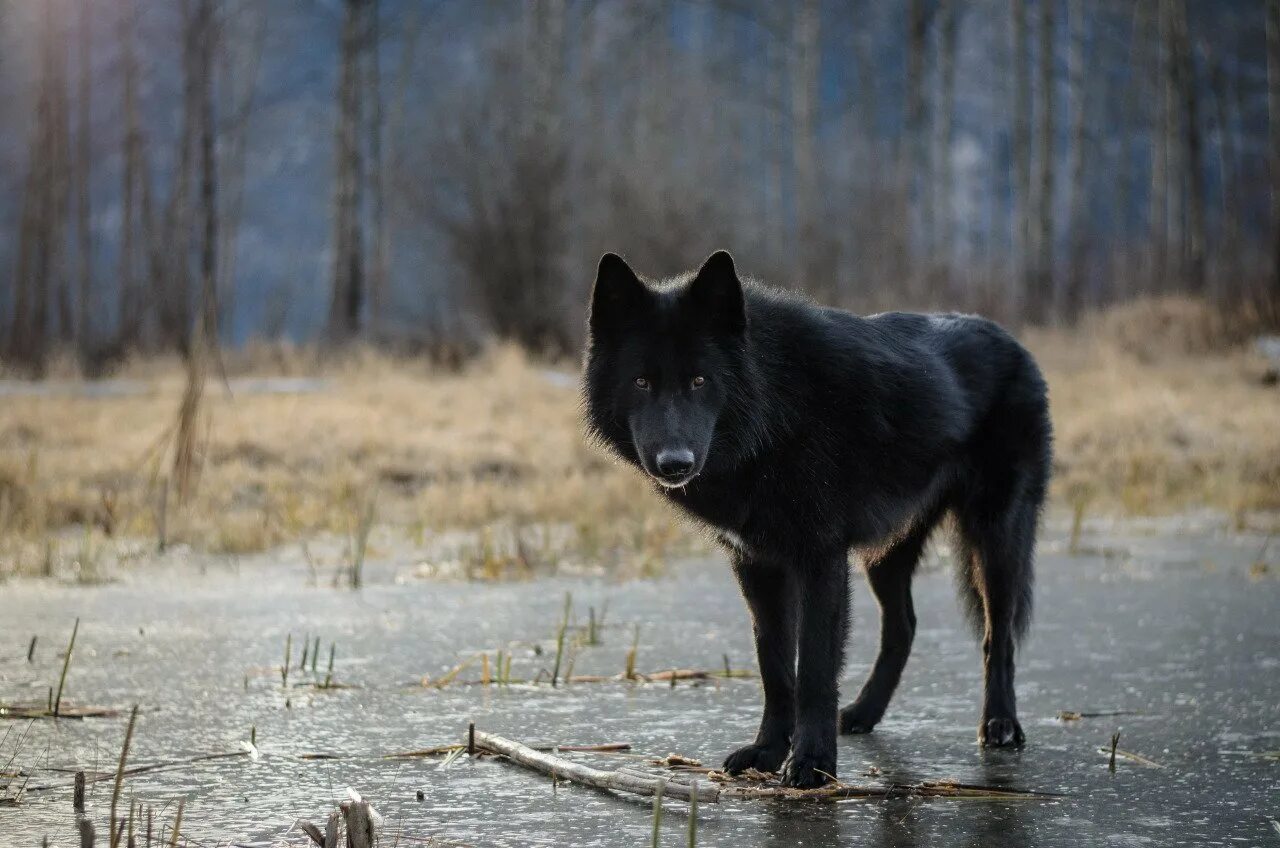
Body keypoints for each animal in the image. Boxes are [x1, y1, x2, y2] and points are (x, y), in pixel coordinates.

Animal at [586, 251, 1054, 789]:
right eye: (641, 382)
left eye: (700, 381)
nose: (675, 463)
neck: (774, 410)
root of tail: (1011, 339)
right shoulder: (758, 566)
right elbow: (774, 666)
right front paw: (768, 751)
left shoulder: (820, 560)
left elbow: (812, 667)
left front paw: (812, 762)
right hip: (884, 558)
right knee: (904, 627)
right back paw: (864, 714)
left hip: (996, 542)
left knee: (998, 636)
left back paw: (1000, 723)